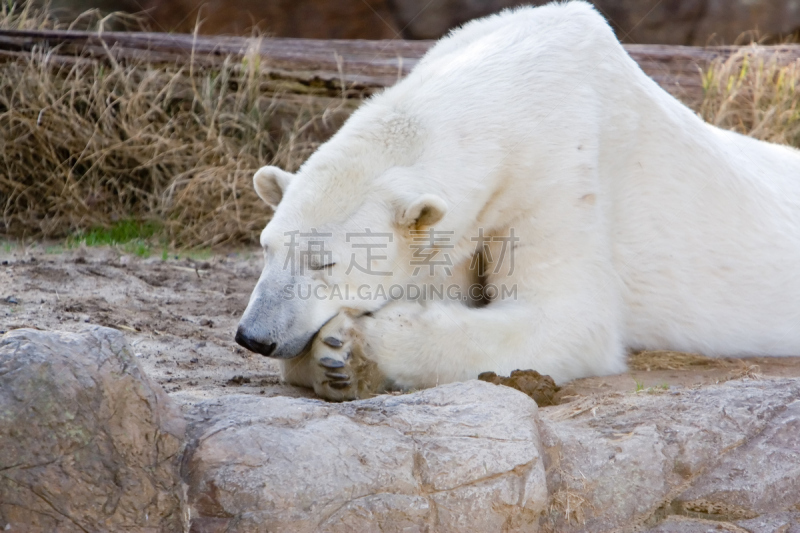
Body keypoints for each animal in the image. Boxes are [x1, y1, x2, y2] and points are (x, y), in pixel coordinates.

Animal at [234, 0, 800, 400]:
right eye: (266, 247)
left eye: (324, 261)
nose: (253, 336)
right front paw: (336, 362)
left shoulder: (561, 165)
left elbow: (568, 318)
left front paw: (350, 346)